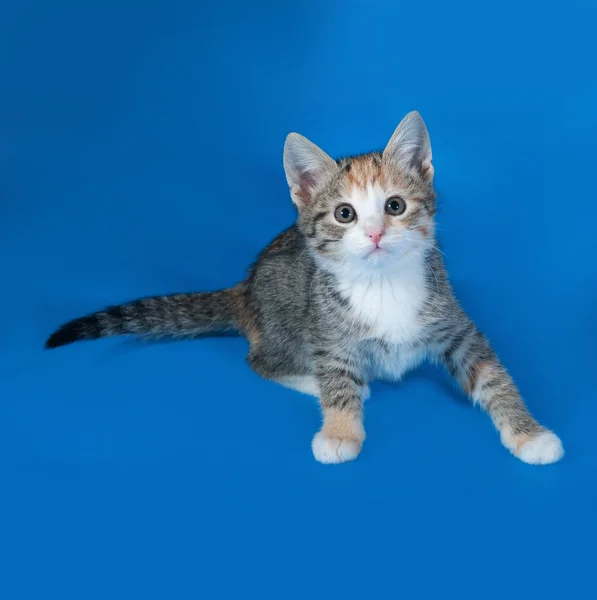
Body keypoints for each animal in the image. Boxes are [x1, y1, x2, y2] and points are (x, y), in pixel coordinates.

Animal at [47, 111, 564, 464]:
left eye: (394, 206)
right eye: (345, 214)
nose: (375, 233)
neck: (382, 284)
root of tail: (245, 288)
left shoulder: (457, 327)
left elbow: (495, 375)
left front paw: (529, 433)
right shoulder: (329, 332)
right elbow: (337, 377)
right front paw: (340, 432)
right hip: (287, 318)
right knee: (261, 360)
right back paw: (311, 380)